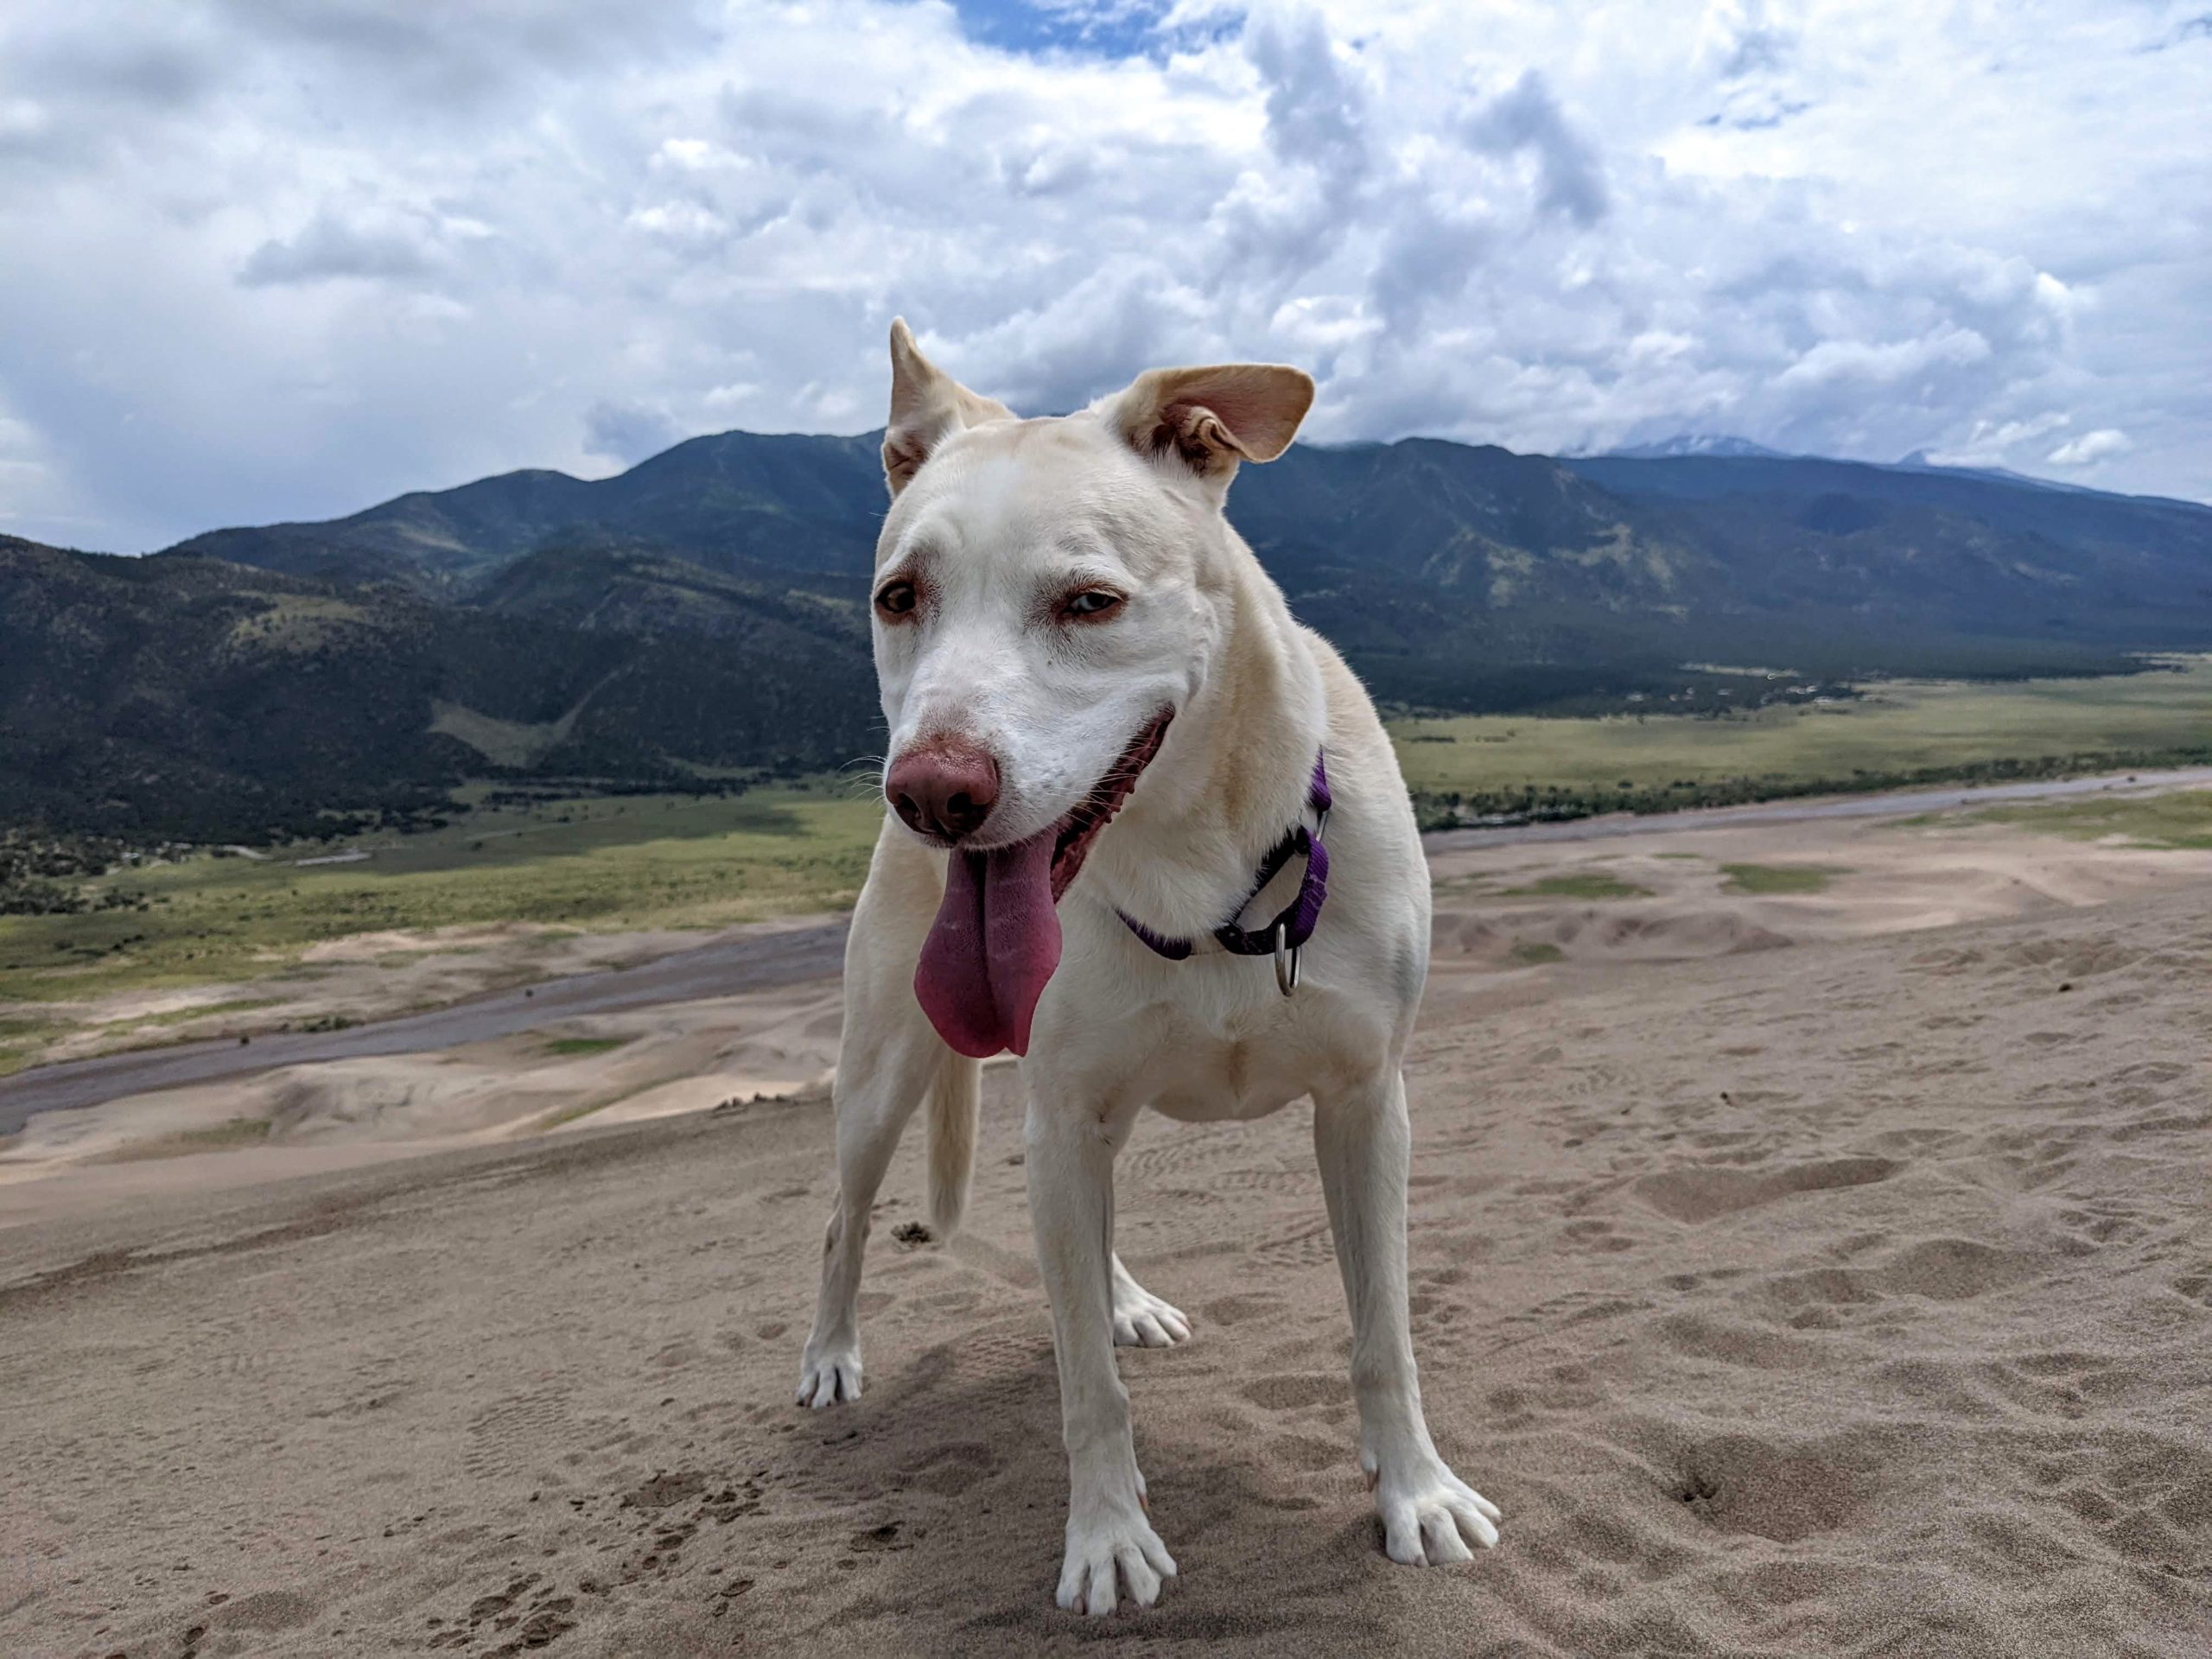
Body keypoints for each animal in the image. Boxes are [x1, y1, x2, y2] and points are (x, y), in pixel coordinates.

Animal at [796, 318, 1503, 1618]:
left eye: (1091, 602)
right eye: (898, 598)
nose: (930, 796)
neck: (1193, 868)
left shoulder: (1367, 1105)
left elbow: (1383, 1332)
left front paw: (1415, 1492)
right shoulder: (1062, 1111)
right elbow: (1084, 1385)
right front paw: (1108, 1537)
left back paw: (1123, 1296)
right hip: (887, 1076)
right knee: (845, 1219)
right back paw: (830, 1356)